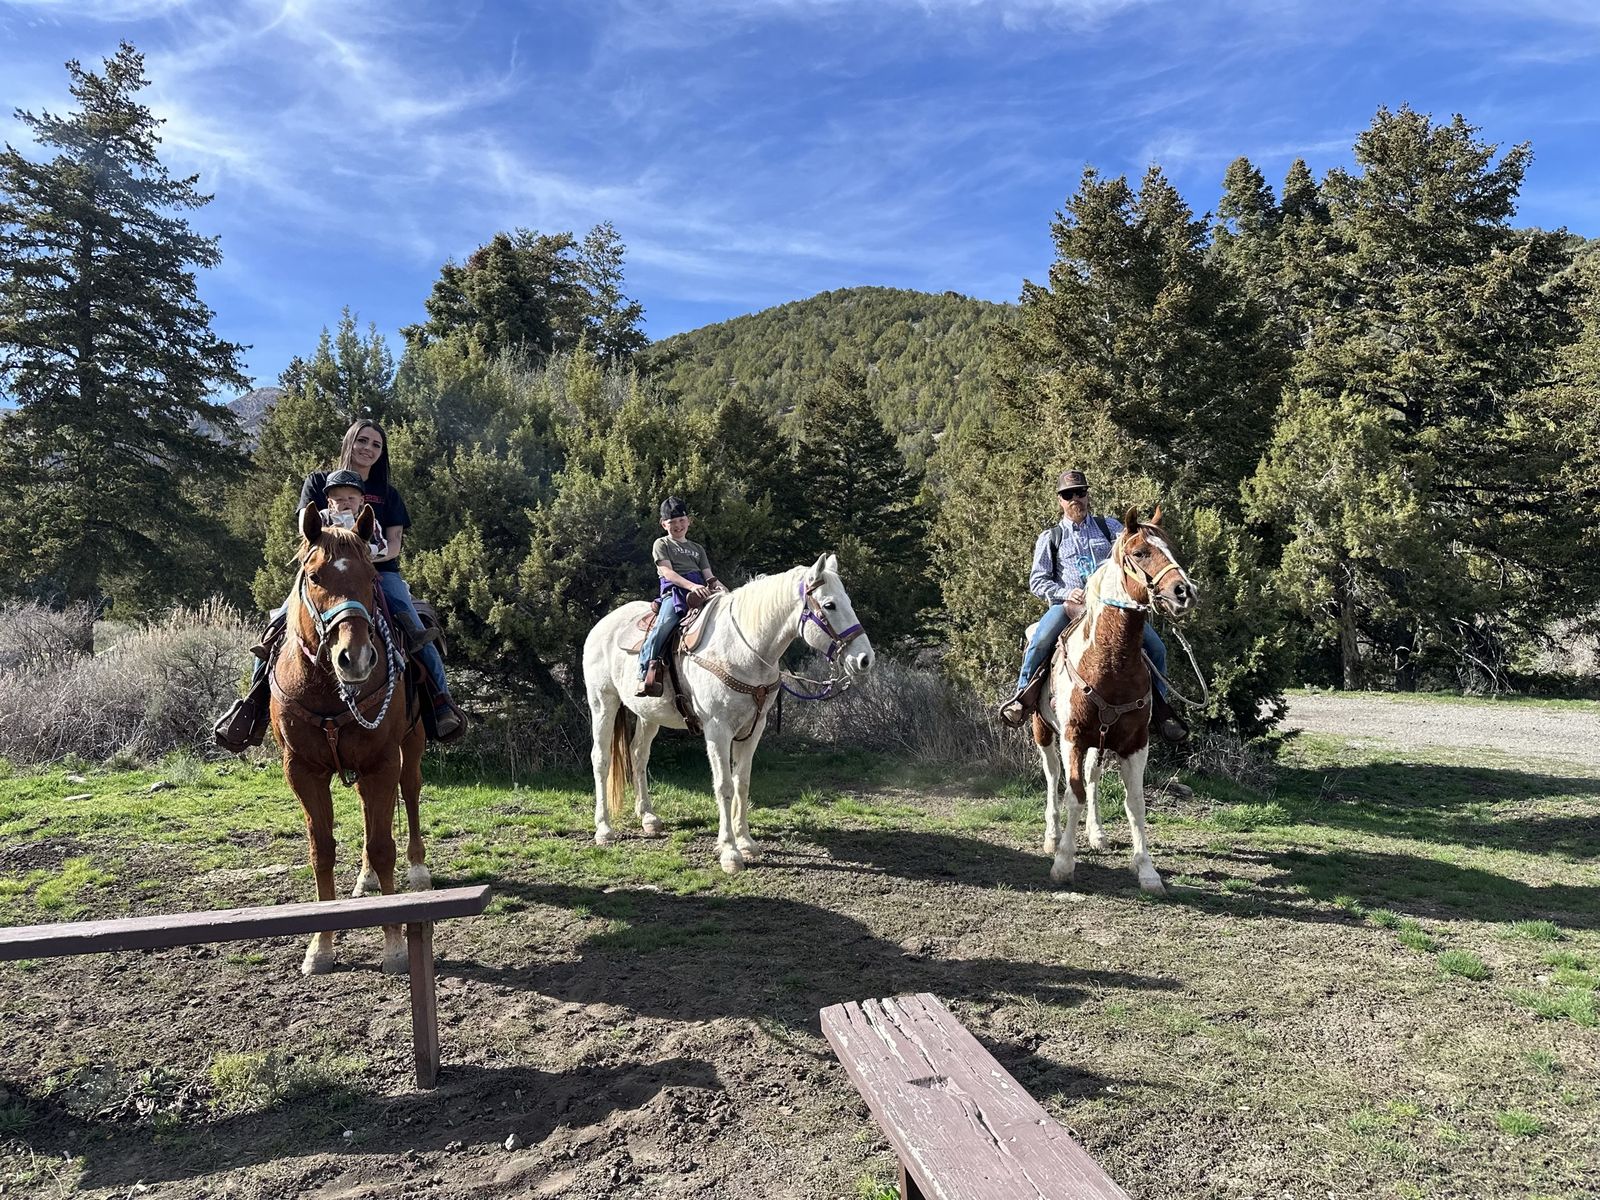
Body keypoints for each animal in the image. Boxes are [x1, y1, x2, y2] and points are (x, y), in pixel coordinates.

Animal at [269, 502, 431, 975]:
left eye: (372, 576)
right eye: (314, 576)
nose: (355, 657)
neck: (329, 691)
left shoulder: (382, 762)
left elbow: (382, 846)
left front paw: (394, 944)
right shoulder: (302, 771)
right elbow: (321, 851)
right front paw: (320, 947)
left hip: (411, 746)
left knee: (410, 794)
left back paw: (417, 868)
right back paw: (364, 879)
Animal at [582, 553, 875, 874]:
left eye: (847, 601)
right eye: (830, 605)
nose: (865, 659)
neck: (743, 650)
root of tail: (601, 626)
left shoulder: (753, 728)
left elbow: (742, 783)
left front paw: (745, 842)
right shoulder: (717, 730)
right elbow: (723, 786)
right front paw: (730, 852)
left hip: (648, 714)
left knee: (638, 755)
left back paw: (648, 817)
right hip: (603, 703)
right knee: (601, 759)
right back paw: (603, 829)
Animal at [1032, 506, 1198, 894]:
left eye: (1170, 548)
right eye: (1140, 552)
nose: (1185, 591)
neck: (1109, 661)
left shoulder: (1135, 743)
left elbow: (1134, 803)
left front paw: (1147, 871)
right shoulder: (1073, 738)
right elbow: (1073, 794)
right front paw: (1063, 863)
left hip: (1101, 742)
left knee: (1092, 777)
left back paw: (1097, 835)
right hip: (1043, 732)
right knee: (1052, 776)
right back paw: (1052, 837)